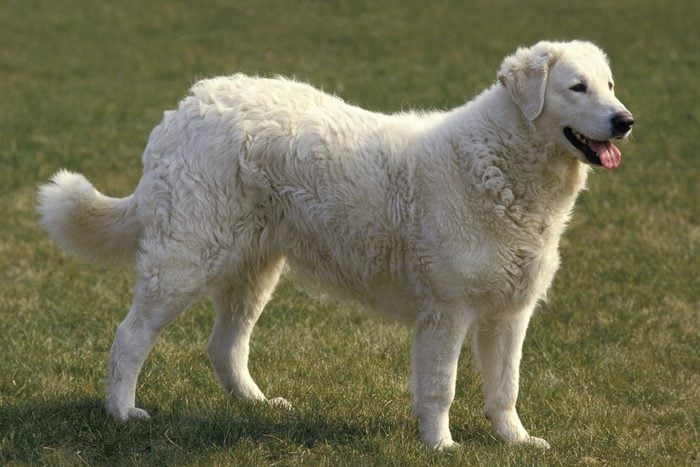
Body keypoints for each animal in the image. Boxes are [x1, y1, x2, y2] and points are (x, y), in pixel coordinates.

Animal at [38, 41, 636, 454]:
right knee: (130, 337)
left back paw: (257, 405)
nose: (625, 120)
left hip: (254, 270)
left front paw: (515, 441)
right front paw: (442, 446)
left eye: (610, 84)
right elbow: (440, 387)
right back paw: (122, 412)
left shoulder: (510, 312)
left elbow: (505, 388)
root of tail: (184, 109)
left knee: (224, 344)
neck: (504, 164)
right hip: (184, 260)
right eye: (577, 87)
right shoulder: (448, 311)